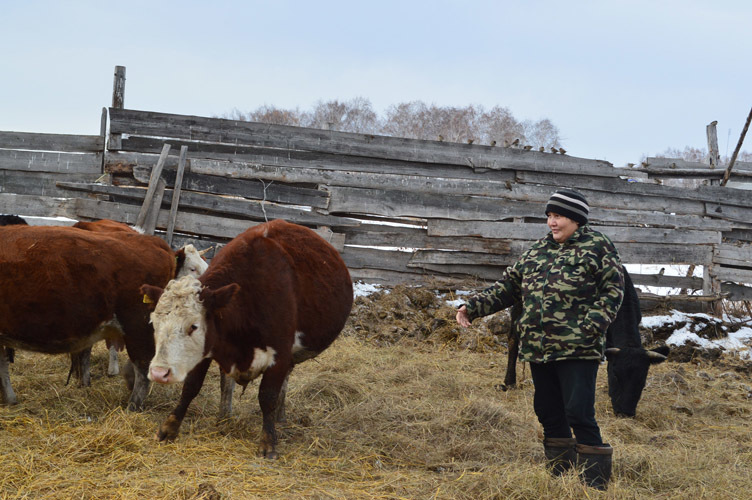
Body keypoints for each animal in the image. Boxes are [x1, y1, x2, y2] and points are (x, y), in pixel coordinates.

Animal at [141, 219, 352, 458]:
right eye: (154, 323)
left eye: (194, 326)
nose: (159, 373)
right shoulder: (208, 349)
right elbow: (191, 387)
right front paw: (169, 427)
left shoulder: (280, 354)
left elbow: (267, 396)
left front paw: (268, 441)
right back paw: (226, 415)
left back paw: (279, 418)